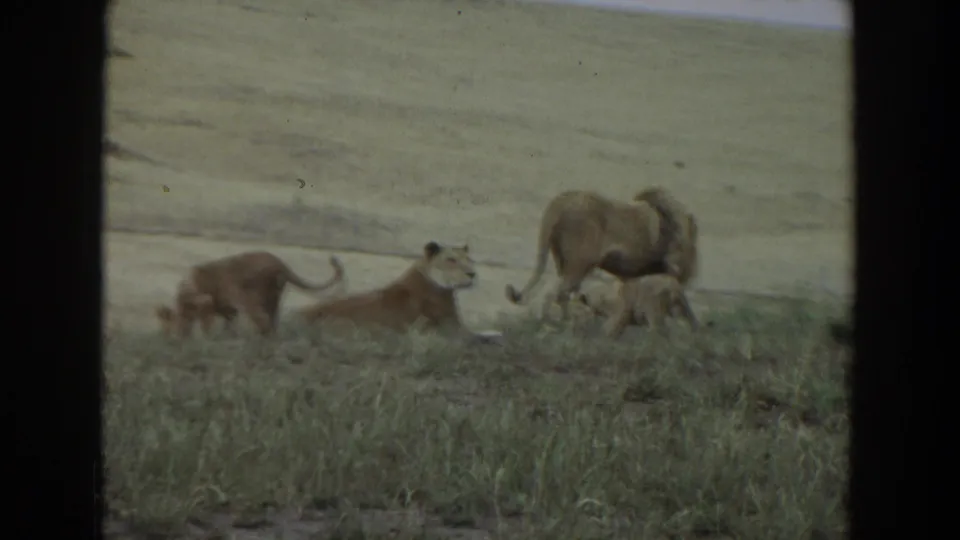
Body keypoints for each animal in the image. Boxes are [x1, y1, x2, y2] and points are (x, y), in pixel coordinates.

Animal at [156, 251, 345, 338]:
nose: (167, 337)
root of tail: (278, 262)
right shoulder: (228, 311)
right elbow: (228, 327)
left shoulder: (205, 302)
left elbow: (206, 322)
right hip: (273, 300)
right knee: (273, 324)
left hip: (251, 300)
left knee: (263, 324)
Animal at [504, 187, 698, 321]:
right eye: (675, 232)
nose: (675, 264)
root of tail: (561, 202)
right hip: (579, 266)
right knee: (555, 294)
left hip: (568, 265)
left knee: (562, 295)